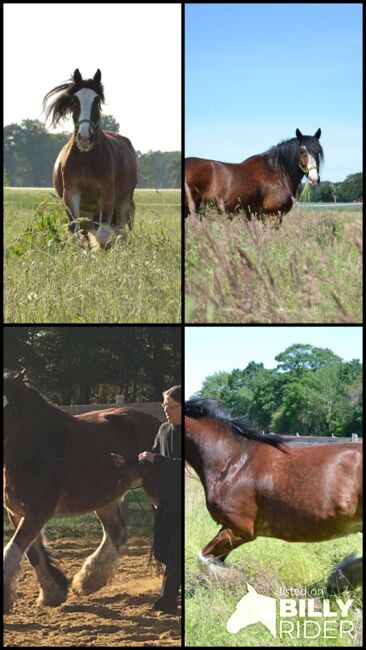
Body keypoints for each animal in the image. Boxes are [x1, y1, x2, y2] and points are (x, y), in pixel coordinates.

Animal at [2, 370, 160, 612]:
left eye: (10, 409)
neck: (37, 447)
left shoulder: (38, 512)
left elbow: (12, 552)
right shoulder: (16, 512)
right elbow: (33, 554)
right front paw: (52, 593)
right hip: (106, 498)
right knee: (116, 531)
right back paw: (88, 581)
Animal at [43, 67, 138, 247]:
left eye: (97, 101)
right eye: (74, 100)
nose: (84, 137)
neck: (87, 161)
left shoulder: (107, 198)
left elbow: (102, 236)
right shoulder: (71, 196)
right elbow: (77, 234)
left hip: (123, 202)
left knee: (120, 233)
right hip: (88, 210)